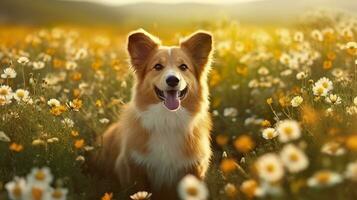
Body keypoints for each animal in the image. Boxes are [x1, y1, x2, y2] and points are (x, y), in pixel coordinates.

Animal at [94, 28, 213, 199]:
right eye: (157, 66)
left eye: (183, 67)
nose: (172, 80)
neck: (168, 119)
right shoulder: (135, 169)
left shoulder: (193, 170)